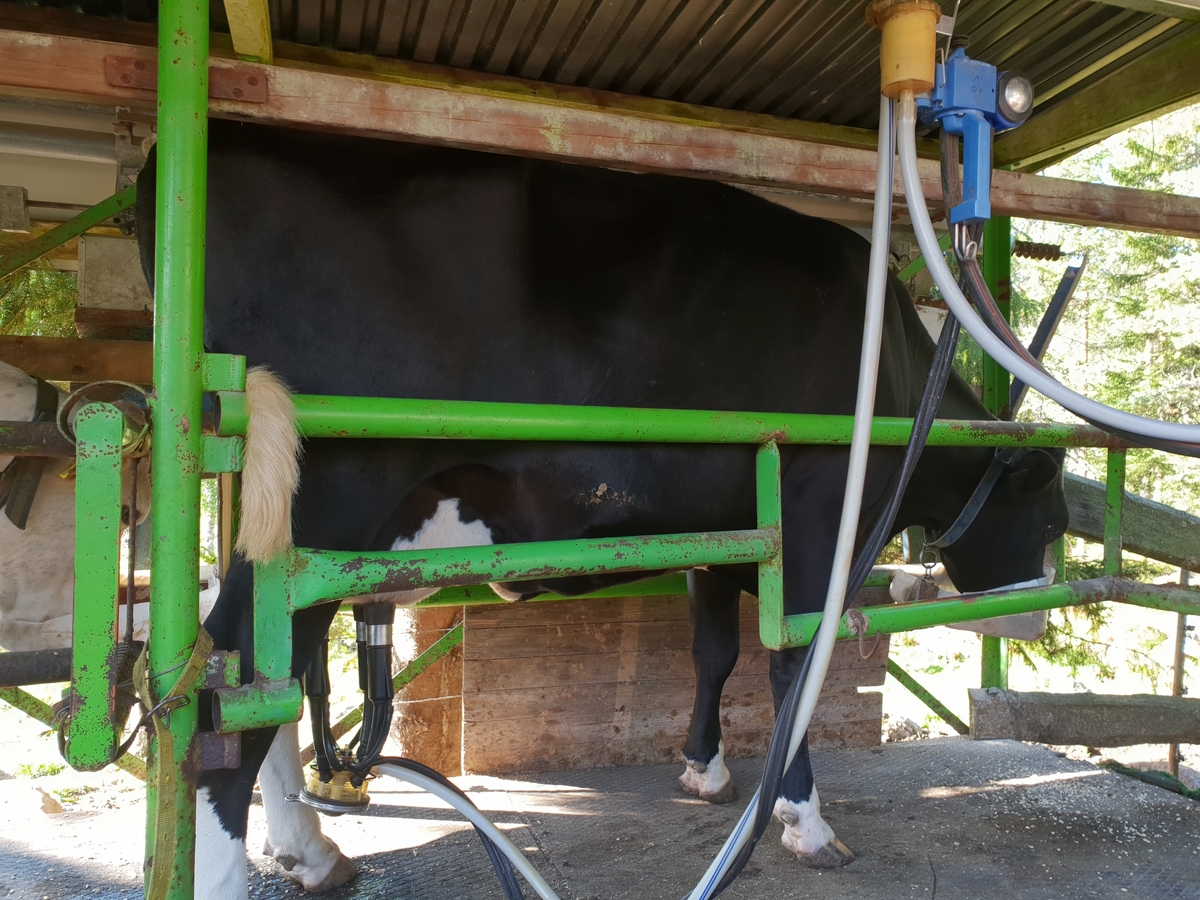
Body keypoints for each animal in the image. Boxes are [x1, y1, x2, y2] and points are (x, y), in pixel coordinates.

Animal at [135, 119, 1068, 899]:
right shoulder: (817, 509)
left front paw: (704, 772)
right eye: (1054, 518)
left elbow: (714, 652)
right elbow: (792, 663)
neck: (903, 378)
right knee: (230, 690)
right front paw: (804, 822)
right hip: (331, 496)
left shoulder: (720, 531)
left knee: (262, 681)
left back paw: (310, 849)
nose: (1035, 620)